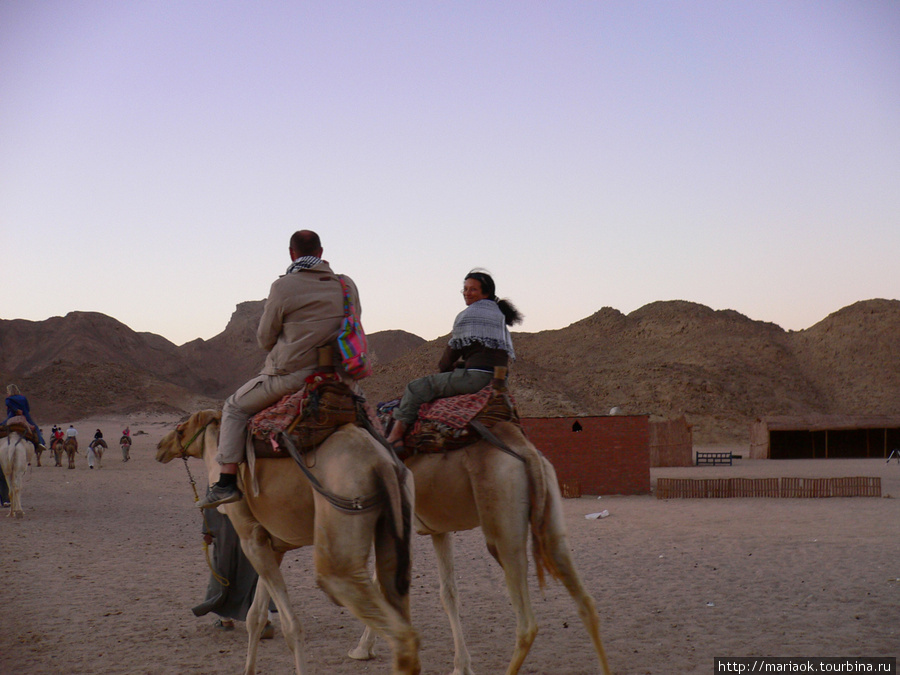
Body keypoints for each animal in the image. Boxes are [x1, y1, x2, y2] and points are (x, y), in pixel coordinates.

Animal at [156, 412, 422, 675]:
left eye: (180, 429)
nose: (159, 447)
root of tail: (383, 464)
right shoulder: (272, 546)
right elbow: (255, 616)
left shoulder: (250, 538)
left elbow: (291, 627)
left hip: (343, 513)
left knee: (398, 632)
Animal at [348, 420, 616, 672]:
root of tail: (524, 448)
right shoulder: (439, 531)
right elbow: (448, 593)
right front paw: (461, 665)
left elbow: (382, 583)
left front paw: (363, 648)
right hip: (550, 516)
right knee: (585, 602)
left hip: (502, 529)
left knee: (527, 625)